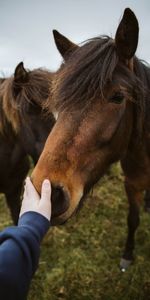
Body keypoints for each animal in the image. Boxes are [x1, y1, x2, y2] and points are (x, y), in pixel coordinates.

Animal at [31, 7, 150, 270]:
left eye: (118, 97)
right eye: (60, 101)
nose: (49, 194)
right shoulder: (132, 183)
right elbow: (133, 219)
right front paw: (127, 254)